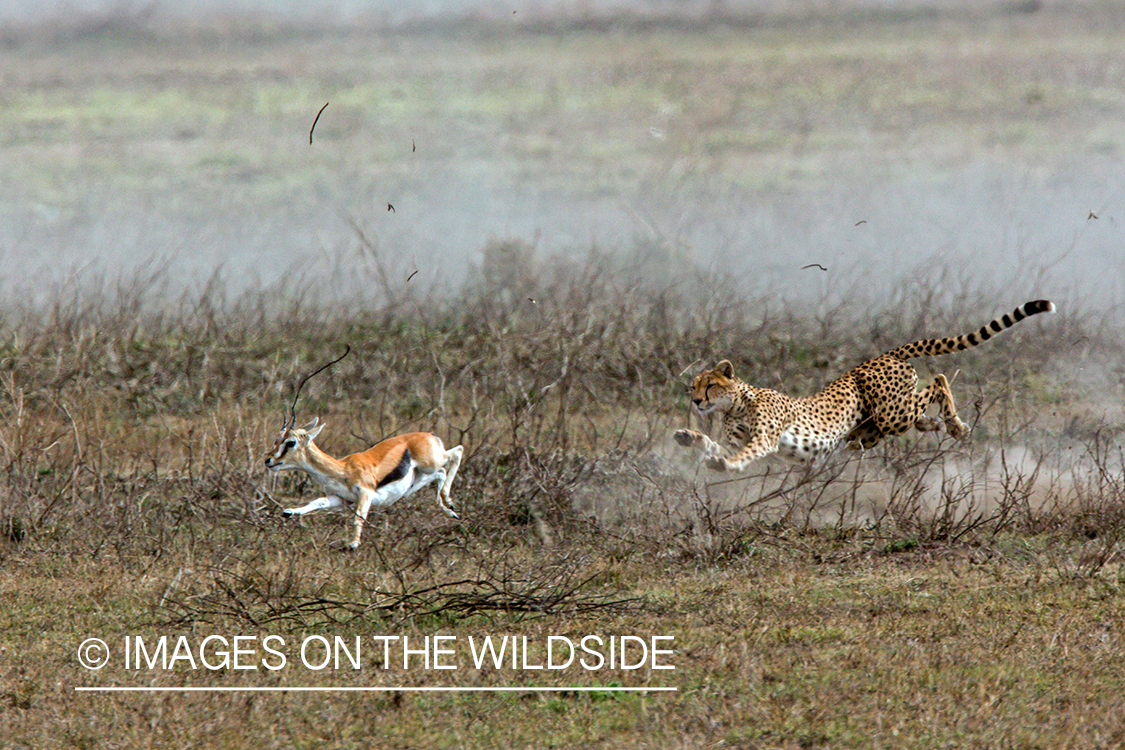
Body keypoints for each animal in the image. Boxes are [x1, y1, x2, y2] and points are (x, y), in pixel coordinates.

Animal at [675, 299, 1053, 470]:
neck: (737, 404)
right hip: (873, 429)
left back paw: (955, 425)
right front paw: (689, 437)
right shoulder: (735, 436)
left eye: (709, 385)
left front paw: (727, 465)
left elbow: (744, 452)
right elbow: (715, 445)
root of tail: (881, 355)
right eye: (692, 386)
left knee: (939, 380)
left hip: (889, 415)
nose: (696, 402)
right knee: (923, 405)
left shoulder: (765, 439)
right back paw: (936, 423)